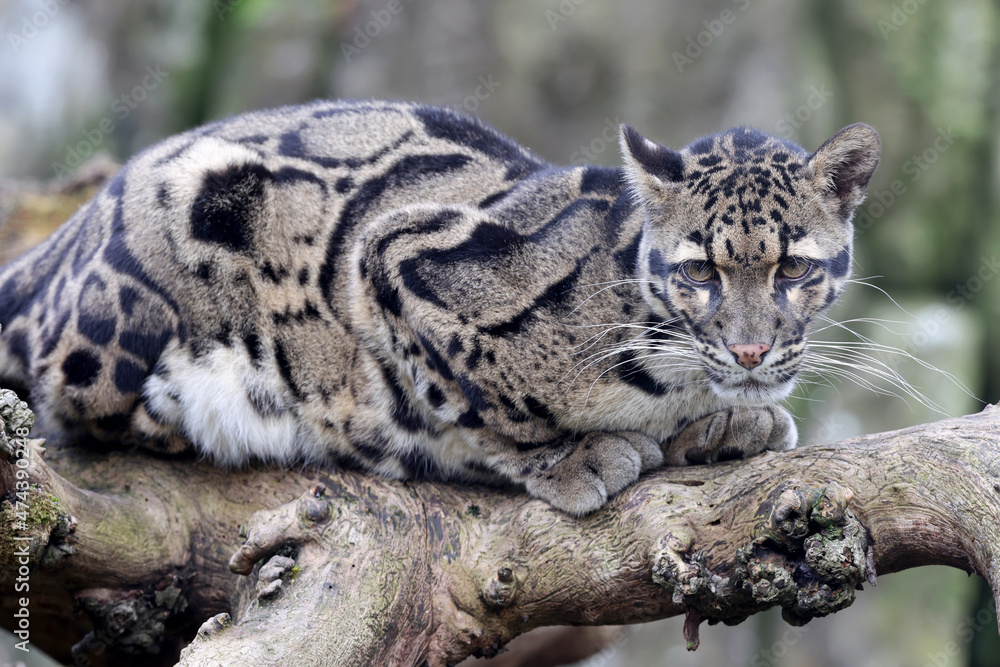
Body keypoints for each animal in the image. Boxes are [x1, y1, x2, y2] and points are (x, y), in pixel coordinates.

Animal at [0, 100, 879, 515]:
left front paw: (729, 423)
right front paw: (572, 455)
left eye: (795, 267)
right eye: (698, 271)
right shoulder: (392, 255)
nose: (751, 351)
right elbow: (475, 402)